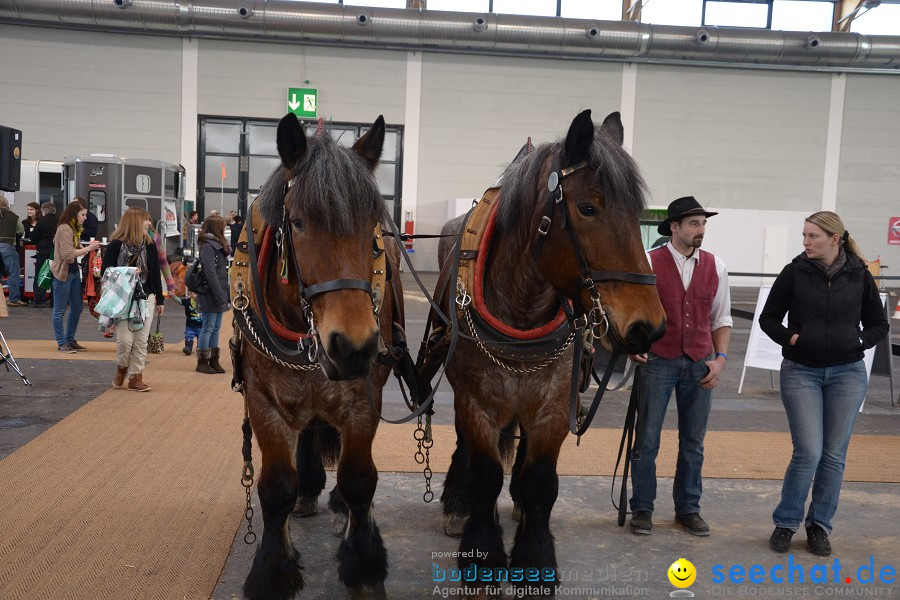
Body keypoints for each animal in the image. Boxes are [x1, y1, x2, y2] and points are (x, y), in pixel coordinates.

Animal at [420, 111, 660, 596]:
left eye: (639, 215)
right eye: (588, 208)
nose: (648, 326)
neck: (522, 311)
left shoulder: (551, 407)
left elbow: (540, 483)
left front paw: (535, 557)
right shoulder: (476, 401)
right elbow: (484, 474)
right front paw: (483, 555)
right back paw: (458, 504)